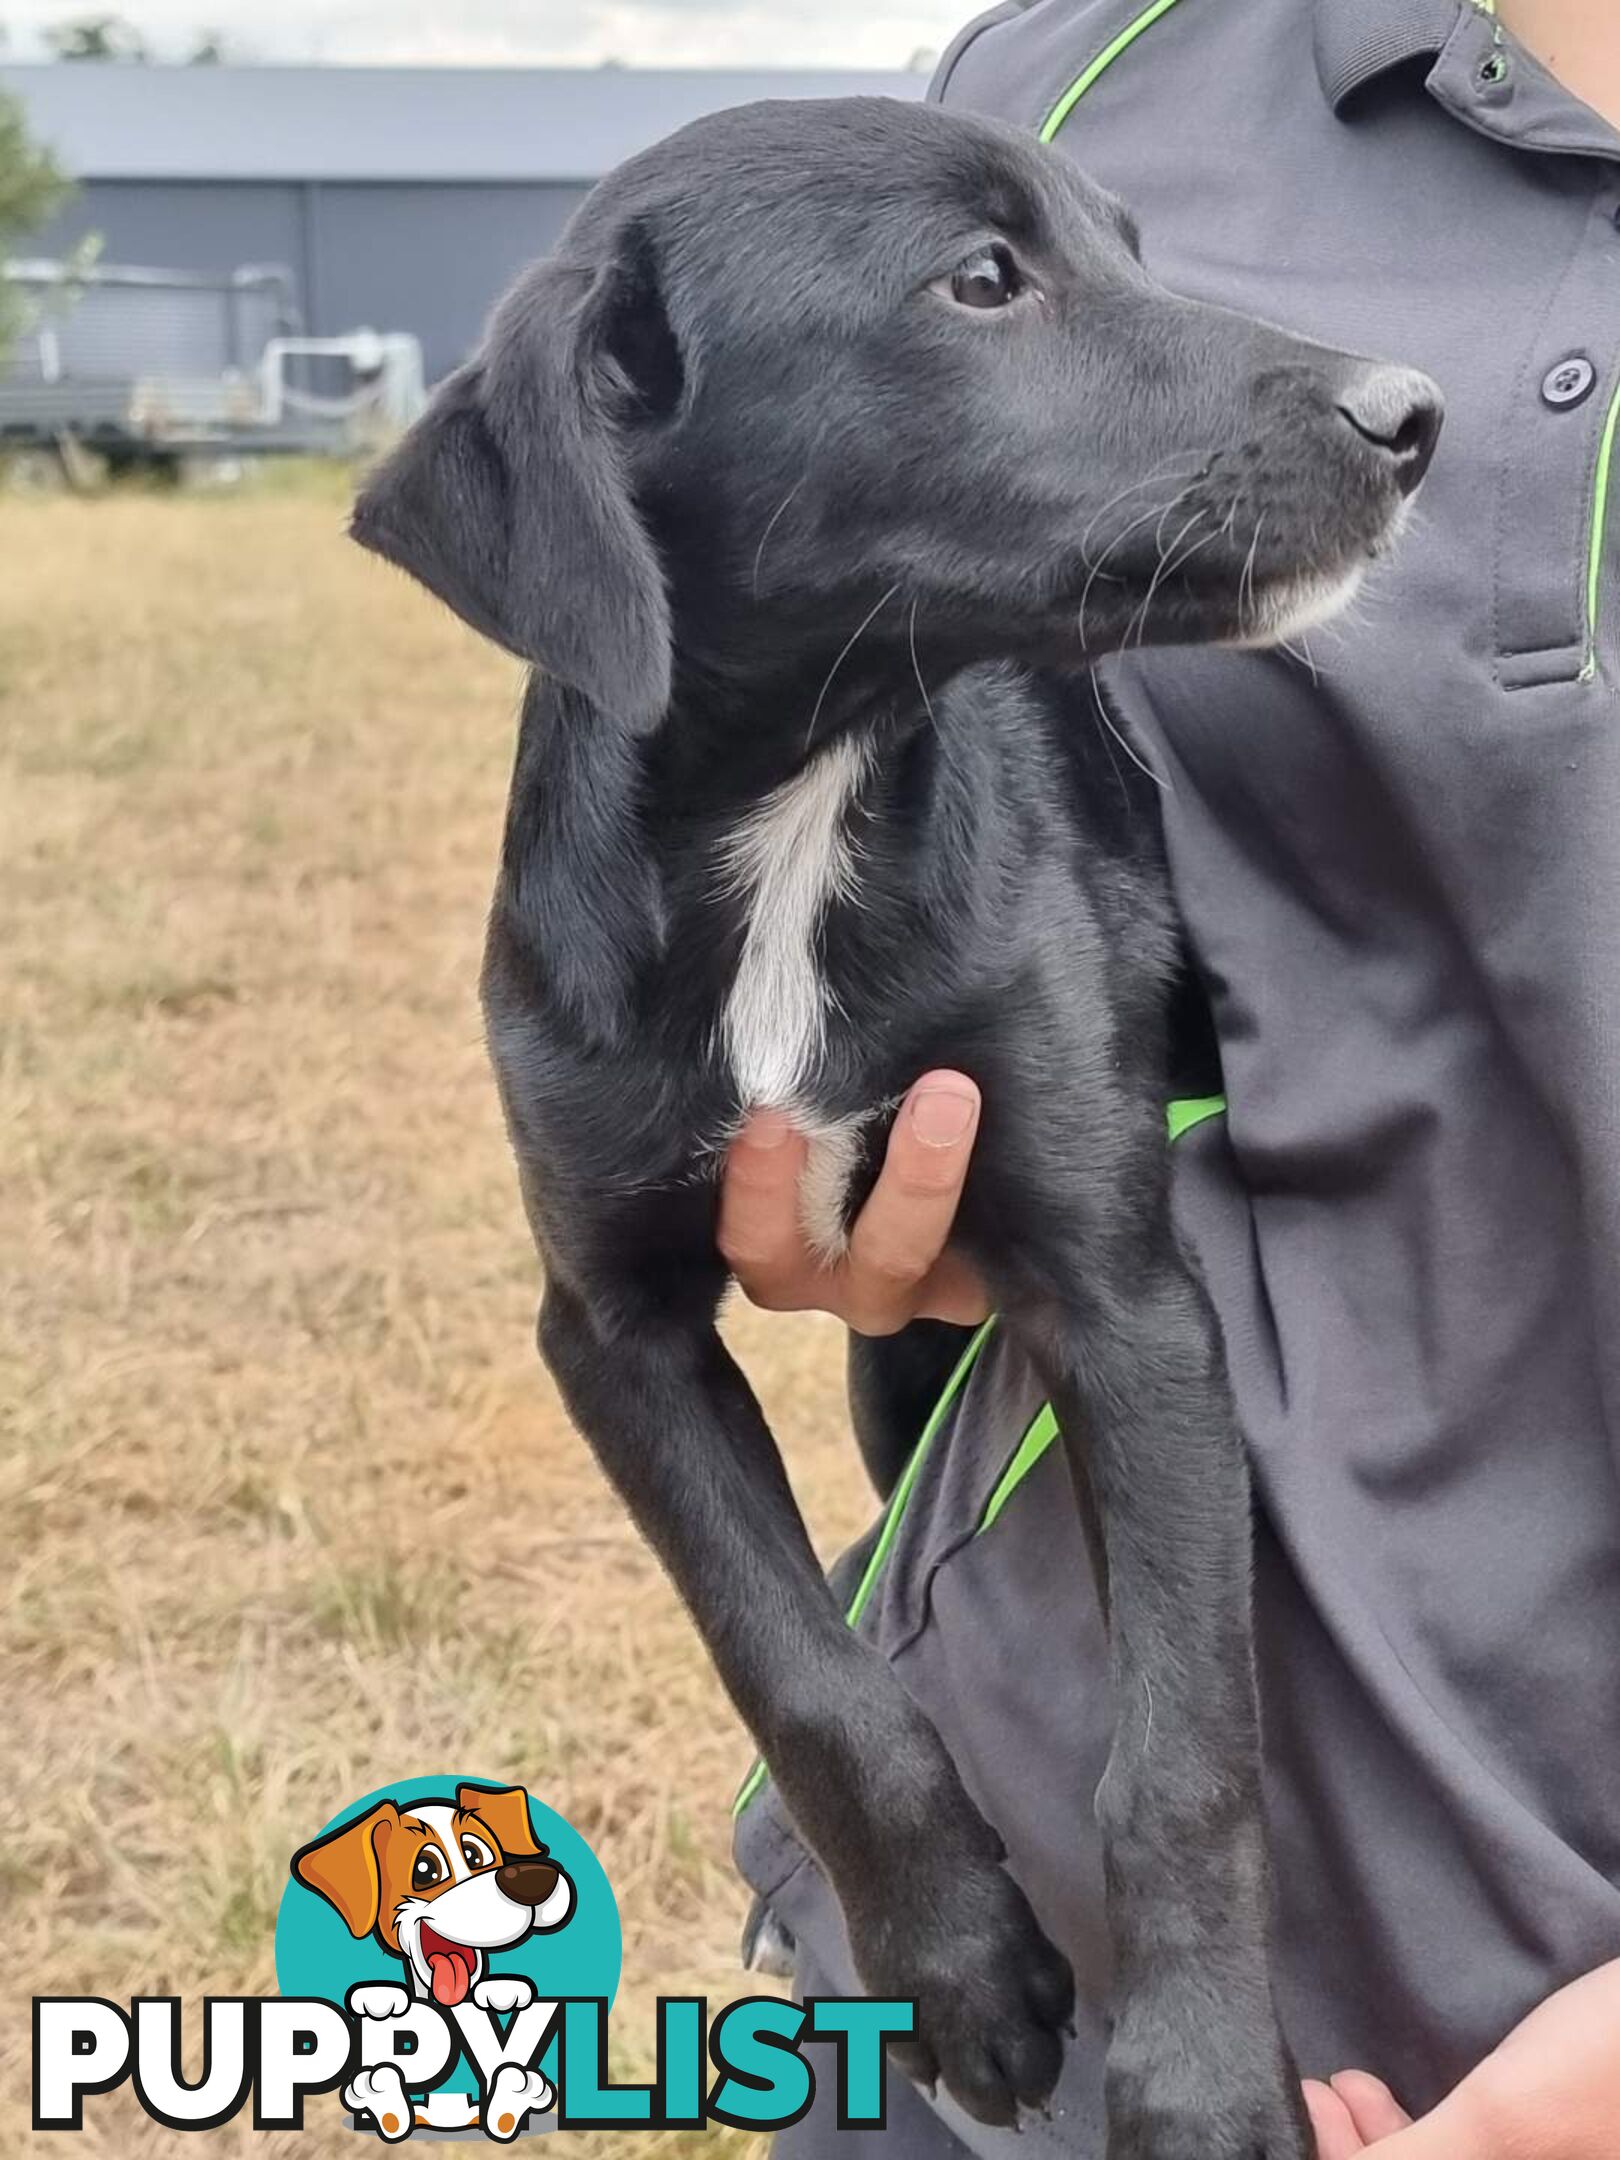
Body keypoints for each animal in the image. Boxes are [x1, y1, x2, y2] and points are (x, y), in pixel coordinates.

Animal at [352, 101, 1434, 2160]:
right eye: (982, 281)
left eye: (1131, 246)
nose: (1411, 412)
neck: (803, 800)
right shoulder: (610, 1328)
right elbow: (799, 1665)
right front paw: (962, 1967)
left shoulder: (1123, 1300)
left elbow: (1185, 1742)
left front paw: (1199, 2076)